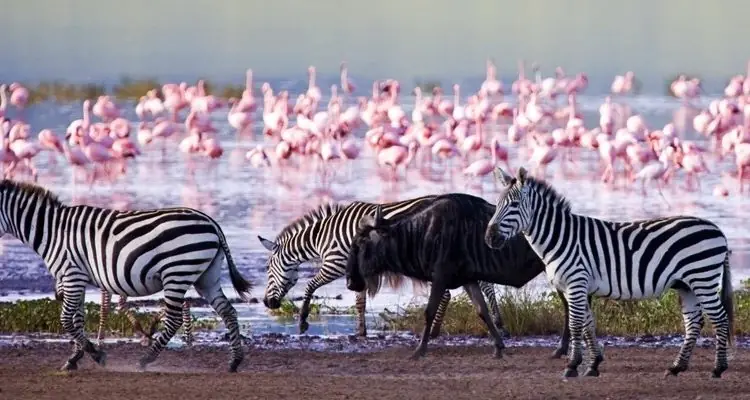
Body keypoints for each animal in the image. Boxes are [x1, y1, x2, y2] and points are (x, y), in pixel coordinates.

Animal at [1, 180, 252, 372]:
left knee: (174, 319)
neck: (52, 231)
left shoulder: (72, 276)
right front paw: (74, 358)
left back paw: (145, 360)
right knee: (228, 311)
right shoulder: (77, 279)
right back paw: (235, 362)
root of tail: (211, 222)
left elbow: (65, 320)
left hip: (176, 273)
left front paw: (96, 355)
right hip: (206, 277)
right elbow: (77, 320)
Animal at [258, 195, 507, 339]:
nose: (267, 303)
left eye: (268, 270)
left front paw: (302, 322)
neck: (322, 237)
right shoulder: (355, 271)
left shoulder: (335, 263)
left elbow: (310, 286)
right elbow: (359, 302)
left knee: (454, 291)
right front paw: (360, 332)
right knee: (482, 285)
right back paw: (497, 323)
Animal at [484, 166, 735, 379]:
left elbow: (575, 325)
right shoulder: (578, 287)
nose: (489, 238)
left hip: (702, 279)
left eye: (515, 204)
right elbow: (588, 325)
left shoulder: (576, 283)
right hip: (687, 285)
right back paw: (676, 367)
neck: (560, 238)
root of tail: (718, 229)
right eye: (497, 205)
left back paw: (718, 368)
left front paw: (572, 366)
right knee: (693, 323)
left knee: (720, 319)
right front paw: (593, 365)